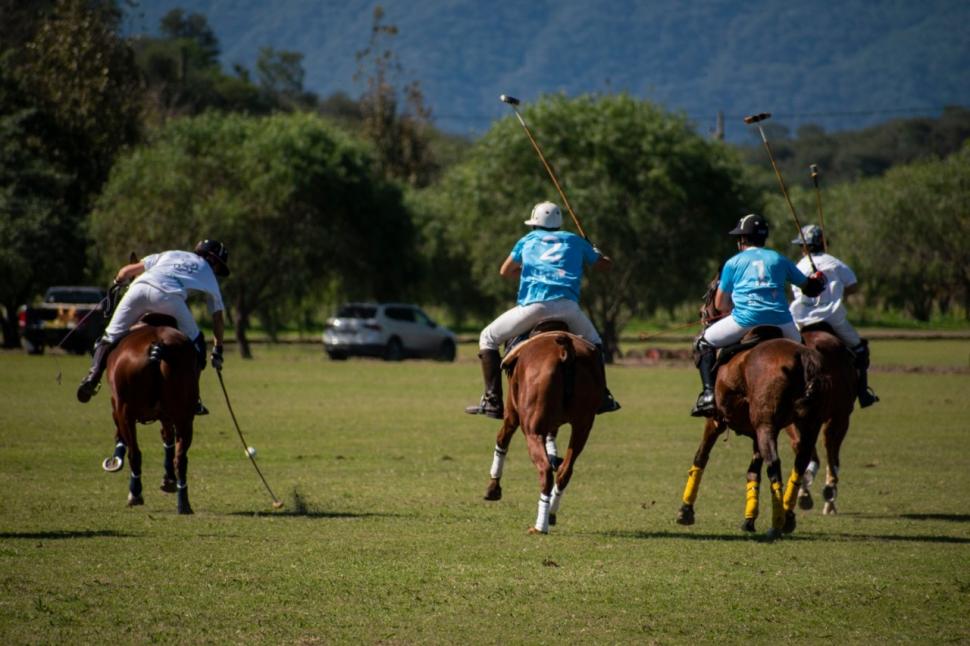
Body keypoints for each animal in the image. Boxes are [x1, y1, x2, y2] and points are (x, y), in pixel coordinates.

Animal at [105, 316, 199, 516]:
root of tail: (158, 344)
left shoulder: (116, 407)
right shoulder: (166, 416)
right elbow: (168, 439)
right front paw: (168, 480)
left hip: (125, 411)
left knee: (135, 453)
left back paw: (135, 494)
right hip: (185, 415)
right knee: (181, 458)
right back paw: (184, 504)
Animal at [480, 332, 600, 536]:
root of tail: (565, 352)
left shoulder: (512, 415)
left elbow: (502, 441)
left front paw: (493, 488)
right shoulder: (553, 425)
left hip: (531, 431)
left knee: (545, 471)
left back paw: (540, 525)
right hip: (583, 427)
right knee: (565, 471)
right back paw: (551, 512)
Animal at [676, 280, 828, 540]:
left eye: (710, 292)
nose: (701, 313)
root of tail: (802, 357)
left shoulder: (716, 421)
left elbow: (701, 456)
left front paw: (685, 511)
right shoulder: (756, 430)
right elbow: (752, 471)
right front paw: (749, 519)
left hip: (766, 426)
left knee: (774, 464)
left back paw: (776, 525)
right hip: (807, 425)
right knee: (799, 462)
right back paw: (787, 518)